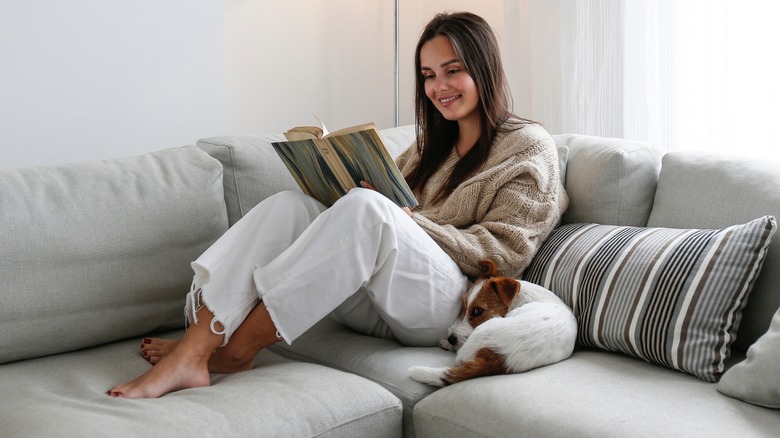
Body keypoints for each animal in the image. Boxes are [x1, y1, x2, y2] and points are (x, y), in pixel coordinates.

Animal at [412, 260, 576, 386]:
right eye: (463, 307)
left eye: (477, 311)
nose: (451, 338)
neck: (522, 297)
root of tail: (499, 357)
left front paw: (448, 343)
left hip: (483, 330)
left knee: (460, 356)